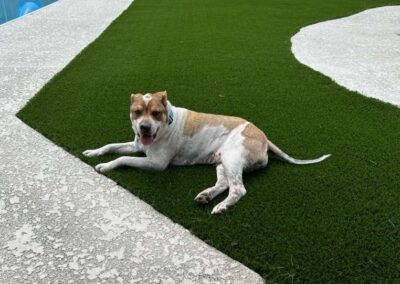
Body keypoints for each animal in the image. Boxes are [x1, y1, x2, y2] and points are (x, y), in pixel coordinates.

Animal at [83, 90, 330, 213]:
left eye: (155, 113)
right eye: (136, 112)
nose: (143, 127)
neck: (166, 123)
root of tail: (264, 138)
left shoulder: (156, 164)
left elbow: (123, 157)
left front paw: (106, 166)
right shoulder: (137, 145)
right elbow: (111, 146)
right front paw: (94, 152)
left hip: (232, 158)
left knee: (238, 189)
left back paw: (221, 206)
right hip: (222, 163)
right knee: (224, 184)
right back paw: (206, 196)